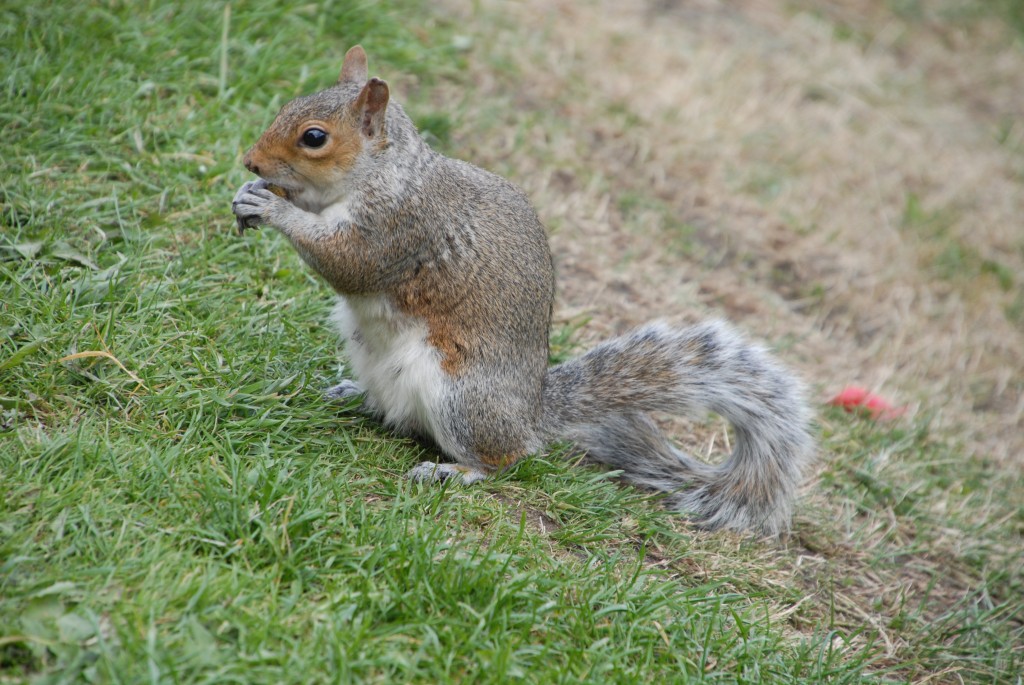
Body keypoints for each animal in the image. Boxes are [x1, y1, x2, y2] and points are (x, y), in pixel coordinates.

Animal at [232, 45, 815, 536]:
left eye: (314, 137)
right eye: (287, 105)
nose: (250, 162)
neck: (382, 174)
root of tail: (531, 414)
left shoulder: (399, 230)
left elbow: (348, 263)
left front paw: (274, 207)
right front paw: (250, 193)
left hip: (463, 399)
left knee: (508, 459)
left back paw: (457, 472)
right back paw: (354, 395)